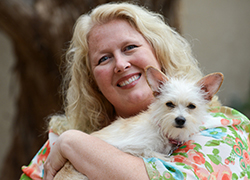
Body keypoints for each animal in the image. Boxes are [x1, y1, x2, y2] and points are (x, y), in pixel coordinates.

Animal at [53, 66, 224, 180]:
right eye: (169, 104)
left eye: (192, 106)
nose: (180, 120)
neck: (161, 130)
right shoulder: (126, 147)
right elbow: (147, 152)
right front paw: (163, 157)